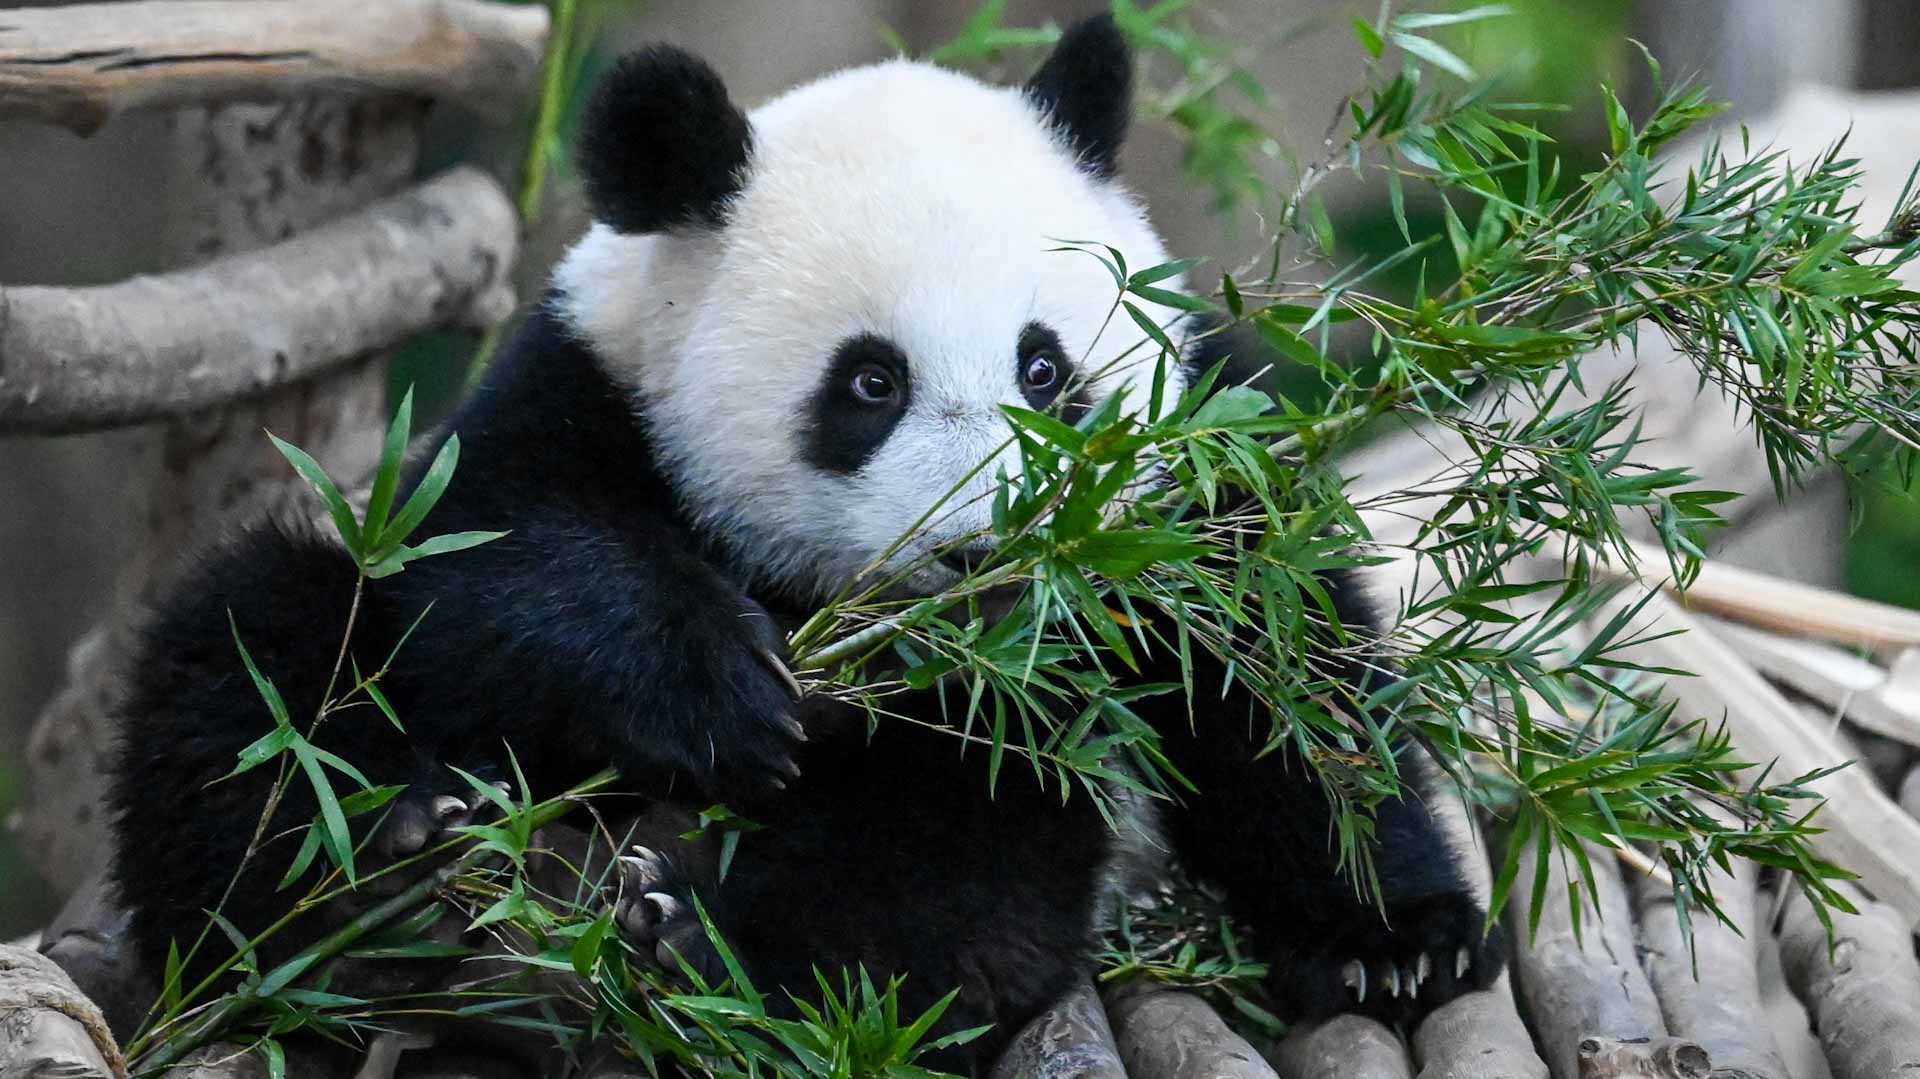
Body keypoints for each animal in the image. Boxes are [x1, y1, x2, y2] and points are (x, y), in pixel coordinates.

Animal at [107, 16, 1502, 1075]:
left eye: (1046, 369)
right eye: (870, 383)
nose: (994, 552)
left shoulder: (1193, 466)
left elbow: (1278, 677)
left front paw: (1397, 937)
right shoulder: (582, 392)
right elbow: (493, 556)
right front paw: (718, 689)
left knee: (958, 861)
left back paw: (702, 945)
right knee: (251, 657)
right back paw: (376, 870)